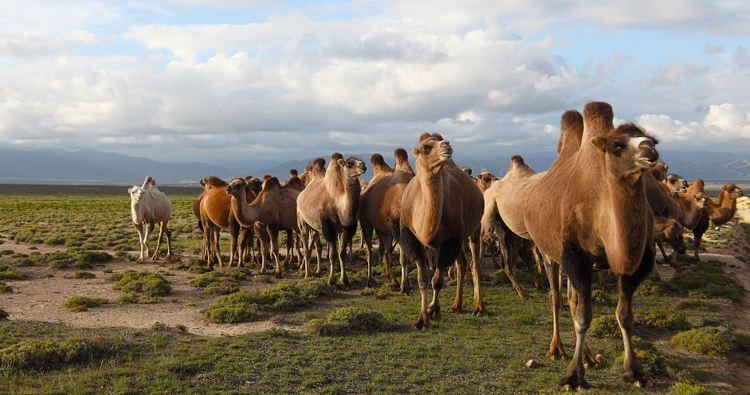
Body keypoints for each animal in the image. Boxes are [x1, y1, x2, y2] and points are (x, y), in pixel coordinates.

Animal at [296, 153, 368, 286]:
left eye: (360, 160)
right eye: (349, 163)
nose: (363, 165)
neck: (339, 205)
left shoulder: (347, 229)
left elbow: (342, 254)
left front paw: (344, 279)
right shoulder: (328, 228)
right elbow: (332, 255)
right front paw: (331, 279)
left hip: (315, 226)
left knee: (315, 244)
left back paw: (317, 271)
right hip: (302, 222)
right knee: (306, 245)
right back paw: (307, 274)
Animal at [360, 150, 418, 290]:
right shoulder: (397, 227)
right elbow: (404, 257)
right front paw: (405, 287)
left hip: (383, 230)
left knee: (386, 251)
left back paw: (393, 280)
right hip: (366, 223)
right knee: (370, 251)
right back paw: (369, 281)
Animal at [400, 132, 488, 328]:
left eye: (442, 141)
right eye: (426, 147)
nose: (446, 145)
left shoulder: (450, 240)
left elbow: (437, 281)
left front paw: (433, 311)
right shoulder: (412, 238)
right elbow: (423, 279)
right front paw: (422, 320)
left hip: (473, 229)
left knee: (474, 264)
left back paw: (480, 308)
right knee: (462, 263)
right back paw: (456, 305)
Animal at [500, 103, 664, 390]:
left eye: (652, 140)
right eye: (617, 145)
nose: (649, 152)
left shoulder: (636, 264)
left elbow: (624, 315)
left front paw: (634, 372)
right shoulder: (576, 256)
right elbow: (583, 316)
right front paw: (573, 376)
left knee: (572, 298)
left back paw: (588, 356)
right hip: (547, 251)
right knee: (556, 297)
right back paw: (557, 349)